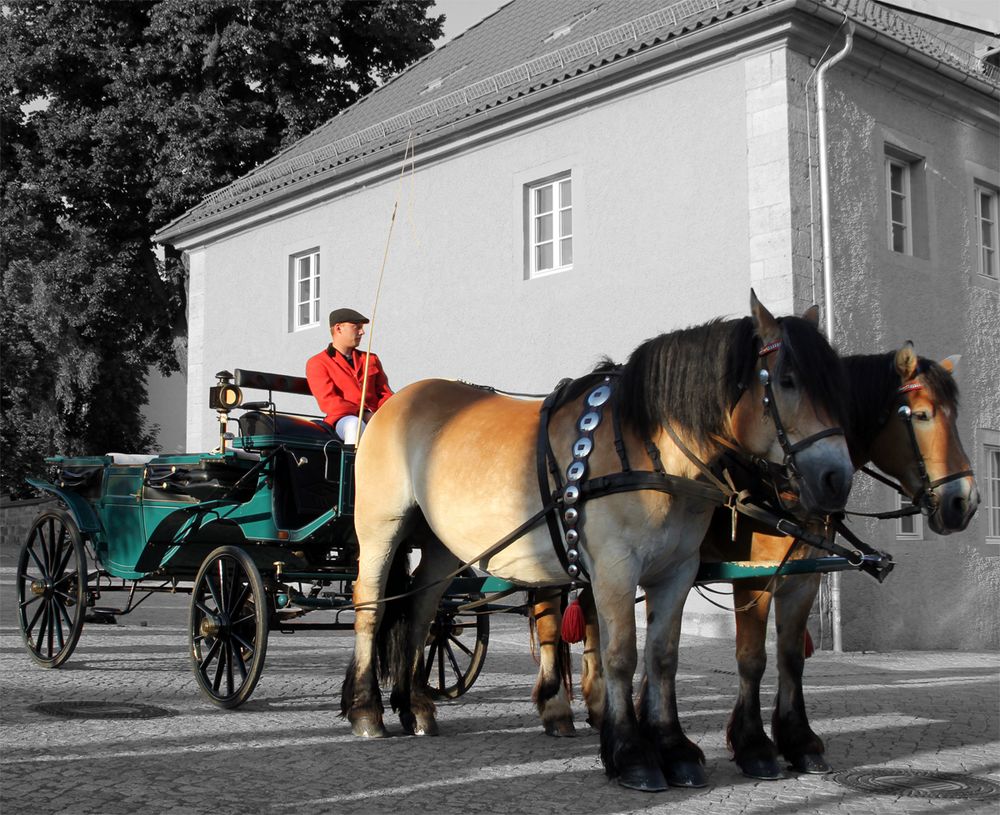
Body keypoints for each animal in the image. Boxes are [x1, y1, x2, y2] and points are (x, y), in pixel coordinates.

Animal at [344, 292, 852, 792]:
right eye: (787, 380)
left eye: (837, 389)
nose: (836, 480)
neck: (649, 449)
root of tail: (398, 400)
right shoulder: (615, 568)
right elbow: (620, 655)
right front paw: (632, 755)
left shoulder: (677, 571)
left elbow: (662, 656)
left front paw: (673, 748)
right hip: (380, 526)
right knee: (371, 606)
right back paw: (368, 711)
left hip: (442, 544)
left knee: (422, 611)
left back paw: (415, 706)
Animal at [536, 342, 980, 780]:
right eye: (921, 415)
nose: (965, 503)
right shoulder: (754, 578)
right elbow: (752, 659)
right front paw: (754, 746)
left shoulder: (803, 581)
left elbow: (790, 658)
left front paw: (799, 741)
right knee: (550, 625)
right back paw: (556, 708)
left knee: (590, 620)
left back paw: (595, 709)